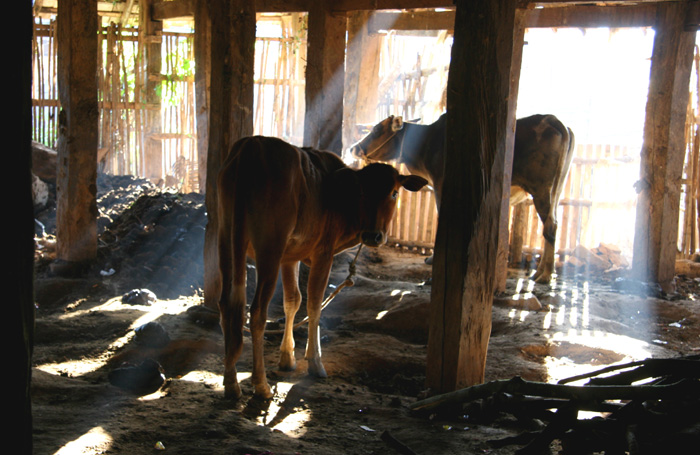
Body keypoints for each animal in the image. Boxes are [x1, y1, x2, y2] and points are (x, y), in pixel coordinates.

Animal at [219, 135, 426, 400]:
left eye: (393, 193)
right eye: (361, 191)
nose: (373, 235)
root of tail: (252, 144)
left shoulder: (290, 257)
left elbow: (293, 301)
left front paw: (287, 358)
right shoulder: (323, 253)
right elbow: (314, 304)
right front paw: (315, 362)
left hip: (224, 238)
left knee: (227, 304)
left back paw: (231, 382)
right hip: (269, 249)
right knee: (256, 312)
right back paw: (261, 384)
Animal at [348, 113, 576, 284]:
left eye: (376, 130)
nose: (352, 147)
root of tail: (556, 121)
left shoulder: (441, 185)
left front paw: (434, 260)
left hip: (542, 189)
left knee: (550, 226)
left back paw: (545, 275)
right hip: (556, 190)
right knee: (552, 225)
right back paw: (543, 272)